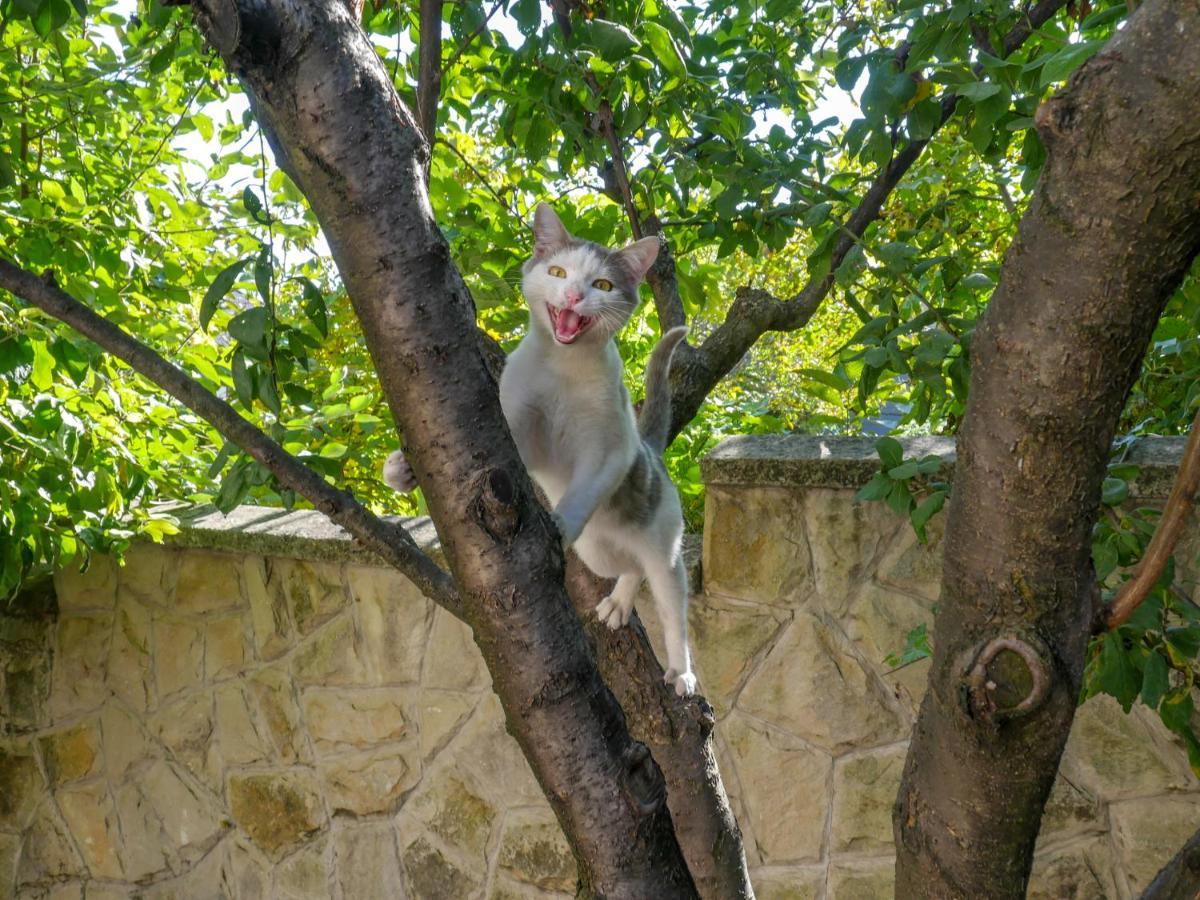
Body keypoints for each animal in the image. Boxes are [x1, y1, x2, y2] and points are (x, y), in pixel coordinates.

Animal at [384, 202, 700, 696]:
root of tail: (651, 450)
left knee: (669, 598)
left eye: (602, 285)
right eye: (558, 272)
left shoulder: (609, 448)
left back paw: (681, 670)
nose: (572, 295)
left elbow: (584, 489)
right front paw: (403, 467)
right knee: (628, 566)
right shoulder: (519, 429)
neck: (562, 368)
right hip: (599, 550)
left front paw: (558, 526)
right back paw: (619, 601)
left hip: (661, 541)